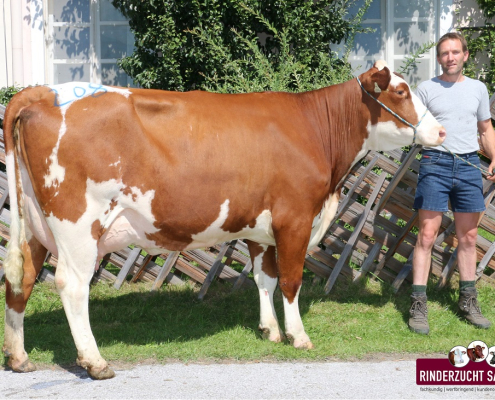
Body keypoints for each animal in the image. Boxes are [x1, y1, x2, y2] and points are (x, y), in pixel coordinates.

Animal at [1, 61, 448, 380]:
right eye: (401, 91)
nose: (441, 131)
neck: (314, 129)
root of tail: (42, 92)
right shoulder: (295, 218)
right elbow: (290, 280)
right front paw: (298, 336)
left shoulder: (262, 228)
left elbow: (264, 278)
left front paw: (269, 330)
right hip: (77, 223)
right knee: (72, 285)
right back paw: (95, 362)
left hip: (35, 225)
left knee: (21, 279)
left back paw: (19, 357)